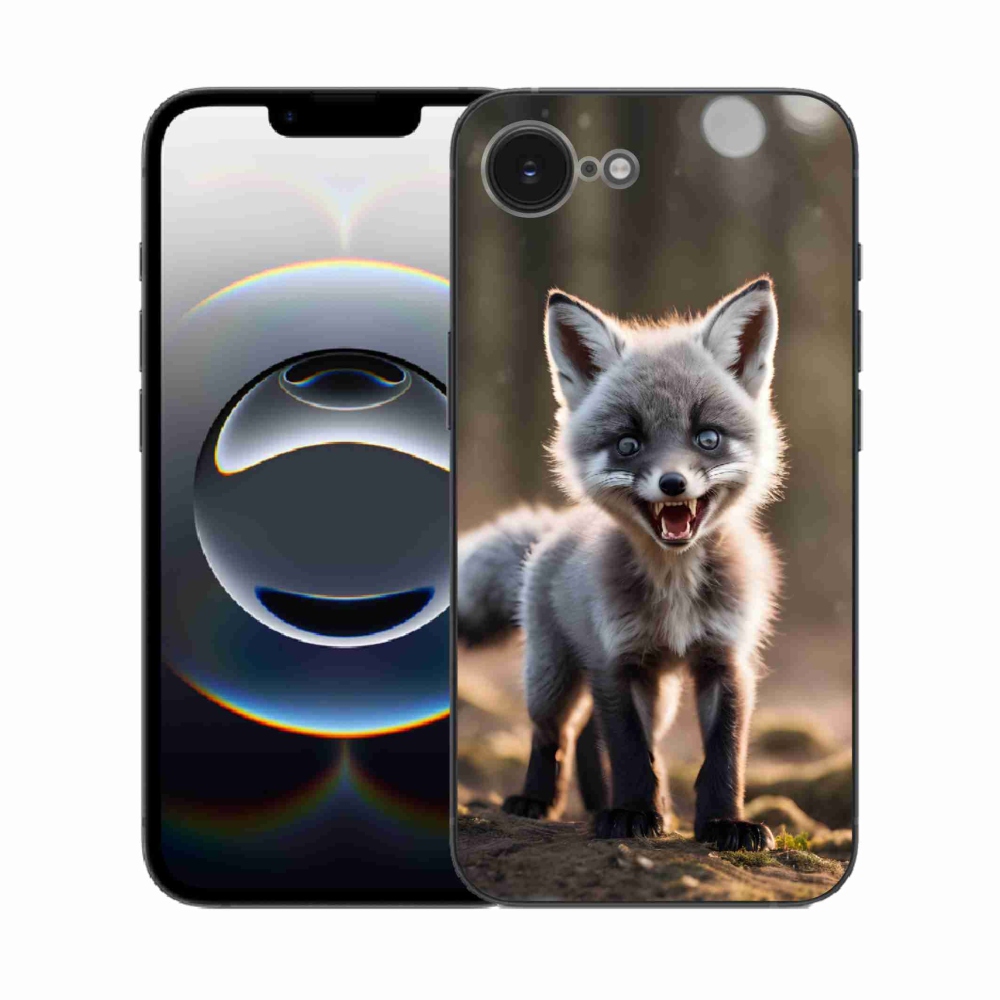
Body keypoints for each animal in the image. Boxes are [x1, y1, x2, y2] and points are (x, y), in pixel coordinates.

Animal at [457, 277, 786, 850]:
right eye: (628, 444)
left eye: (707, 437)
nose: (673, 483)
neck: (674, 588)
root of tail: (553, 529)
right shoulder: (616, 660)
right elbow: (632, 753)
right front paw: (633, 813)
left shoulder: (725, 660)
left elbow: (723, 757)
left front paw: (724, 824)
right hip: (552, 675)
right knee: (555, 732)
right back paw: (537, 801)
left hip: (659, 692)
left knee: (591, 732)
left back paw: (602, 803)